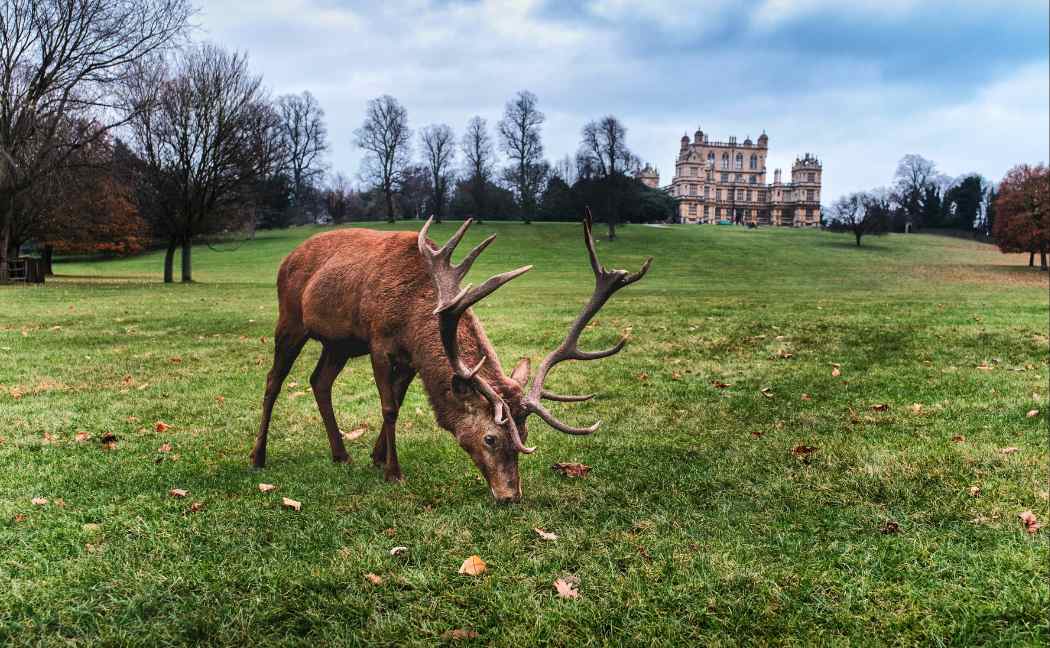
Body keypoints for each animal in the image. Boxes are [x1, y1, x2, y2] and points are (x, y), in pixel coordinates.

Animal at [250, 211, 650, 502]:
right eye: (490, 438)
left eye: (523, 433)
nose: (511, 495)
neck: (413, 314)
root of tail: (289, 256)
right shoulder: (378, 341)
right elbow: (389, 407)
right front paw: (393, 472)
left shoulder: (410, 359)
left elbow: (397, 401)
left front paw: (376, 457)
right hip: (290, 318)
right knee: (273, 381)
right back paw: (258, 457)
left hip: (339, 343)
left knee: (319, 381)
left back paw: (340, 454)